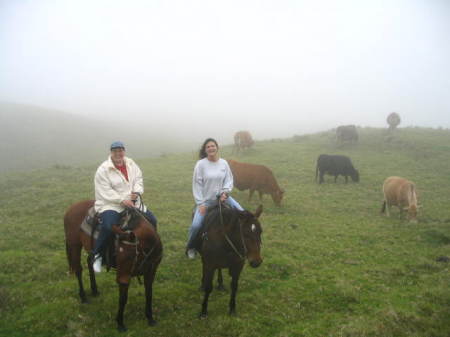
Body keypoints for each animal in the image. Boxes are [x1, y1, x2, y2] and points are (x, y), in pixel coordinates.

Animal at [63, 200, 162, 330]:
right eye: (118, 253)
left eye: (130, 256)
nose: (121, 280)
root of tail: (71, 208)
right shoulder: (125, 276)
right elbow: (123, 299)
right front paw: (120, 323)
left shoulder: (151, 270)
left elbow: (149, 293)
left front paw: (150, 318)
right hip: (74, 245)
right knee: (78, 270)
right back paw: (83, 297)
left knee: (90, 262)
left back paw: (94, 290)